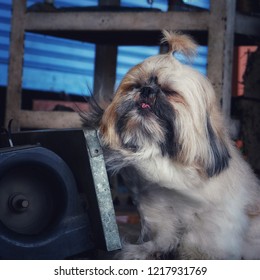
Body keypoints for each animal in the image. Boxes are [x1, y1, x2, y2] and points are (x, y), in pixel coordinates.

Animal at [83, 30, 260, 260]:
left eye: (169, 91)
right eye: (134, 86)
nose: (146, 90)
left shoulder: (216, 218)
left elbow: (200, 239)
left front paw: (193, 254)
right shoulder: (157, 208)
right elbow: (162, 234)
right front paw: (146, 250)